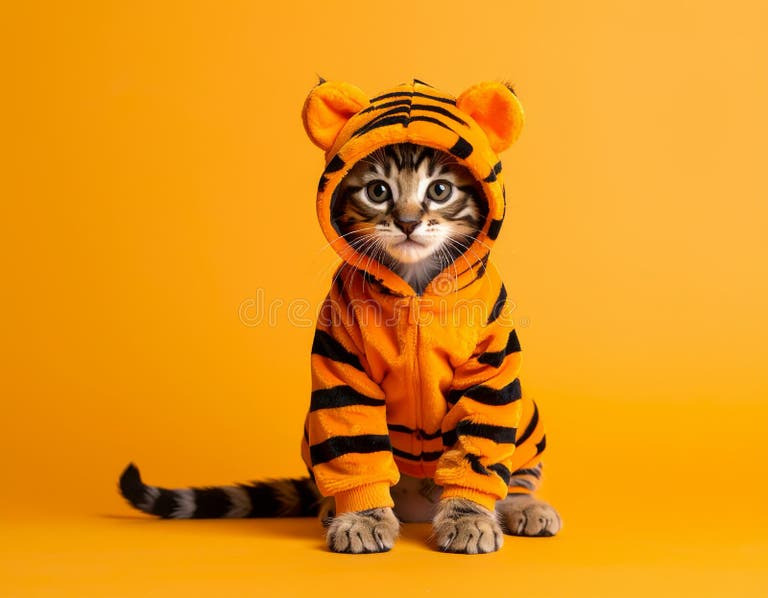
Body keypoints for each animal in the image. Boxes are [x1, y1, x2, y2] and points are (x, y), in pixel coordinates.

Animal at [119, 79, 561, 555]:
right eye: (378, 191)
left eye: (440, 190)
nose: (407, 222)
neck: (415, 288)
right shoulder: (341, 366)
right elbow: (355, 450)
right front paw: (362, 518)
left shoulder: (490, 371)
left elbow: (477, 451)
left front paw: (469, 518)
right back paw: (332, 508)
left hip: (527, 417)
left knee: (518, 474)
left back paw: (524, 506)